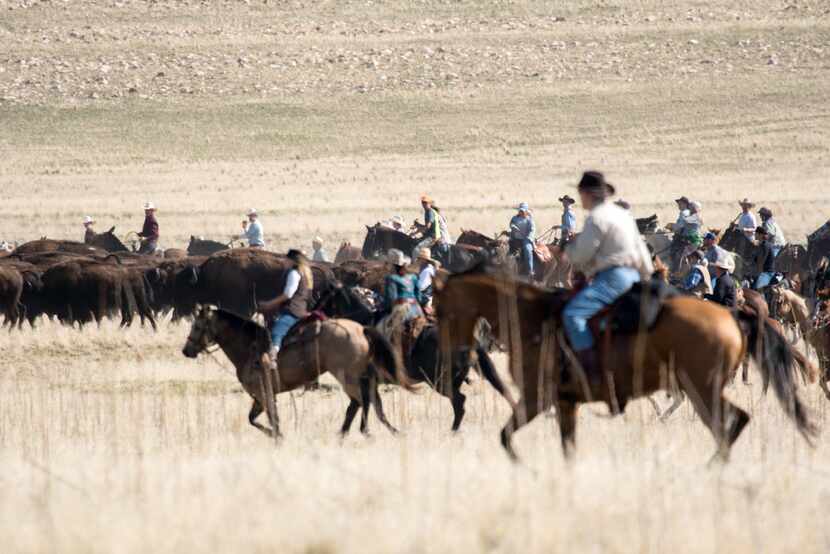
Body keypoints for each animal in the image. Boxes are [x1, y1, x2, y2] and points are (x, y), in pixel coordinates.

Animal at [184, 304, 414, 438]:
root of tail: (360, 329)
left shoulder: (262, 393)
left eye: (196, 326)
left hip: (346, 376)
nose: (186, 350)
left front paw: (277, 436)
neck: (249, 347)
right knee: (369, 403)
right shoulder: (262, 396)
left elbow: (268, 419)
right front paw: (275, 435)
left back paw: (360, 431)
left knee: (360, 401)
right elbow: (256, 418)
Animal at [436, 266, 820, 460]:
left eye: (440, 308)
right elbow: (566, 448)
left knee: (730, 423)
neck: (532, 318)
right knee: (732, 424)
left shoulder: (538, 397)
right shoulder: (564, 402)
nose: (447, 351)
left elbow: (505, 437)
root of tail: (732, 315)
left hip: (702, 390)